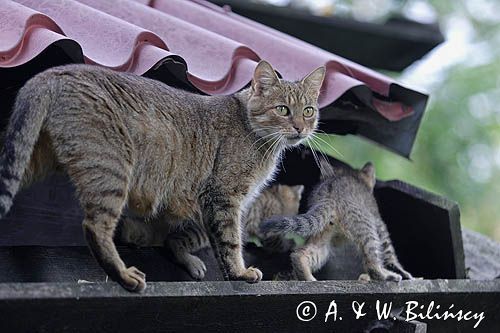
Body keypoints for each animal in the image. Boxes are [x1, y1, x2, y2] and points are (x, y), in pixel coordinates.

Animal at [120, 183, 304, 278]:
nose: (288, 220)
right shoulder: (266, 232)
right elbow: (282, 243)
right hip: (200, 232)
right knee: (172, 241)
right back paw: (192, 263)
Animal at [260, 158, 412, 280]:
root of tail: (329, 194)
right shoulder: (377, 220)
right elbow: (389, 249)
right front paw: (401, 271)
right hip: (365, 224)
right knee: (371, 261)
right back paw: (384, 275)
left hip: (322, 234)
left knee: (302, 253)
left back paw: (306, 275)